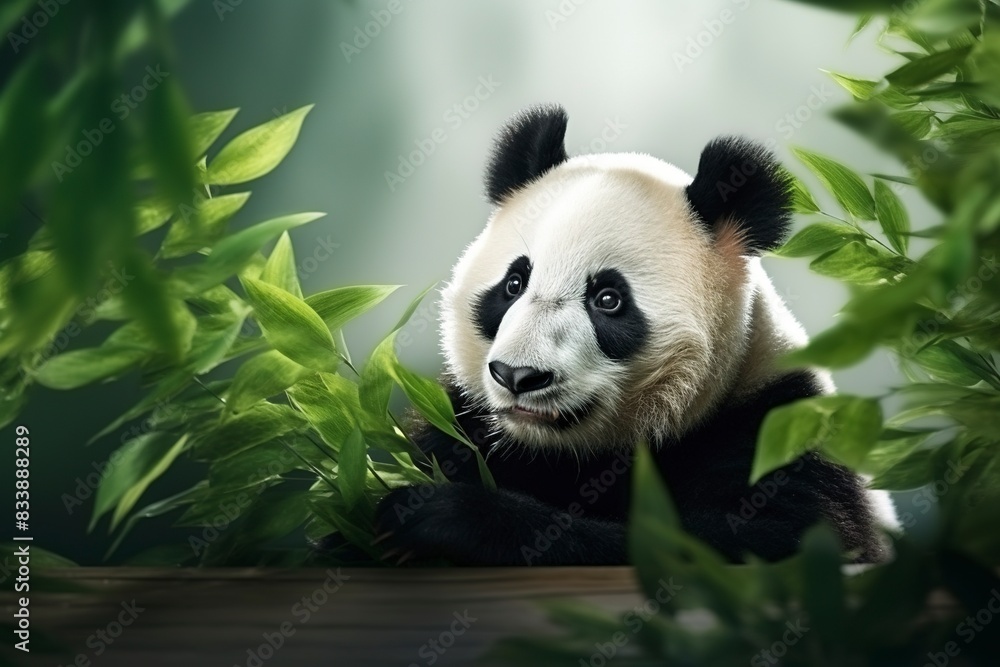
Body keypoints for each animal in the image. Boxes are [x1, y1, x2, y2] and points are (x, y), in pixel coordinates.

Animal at [372, 104, 897, 566]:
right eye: (514, 284)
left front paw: (438, 517)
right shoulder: (460, 423)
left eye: (608, 299)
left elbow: (751, 540)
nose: (518, 376)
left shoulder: (778, 428)